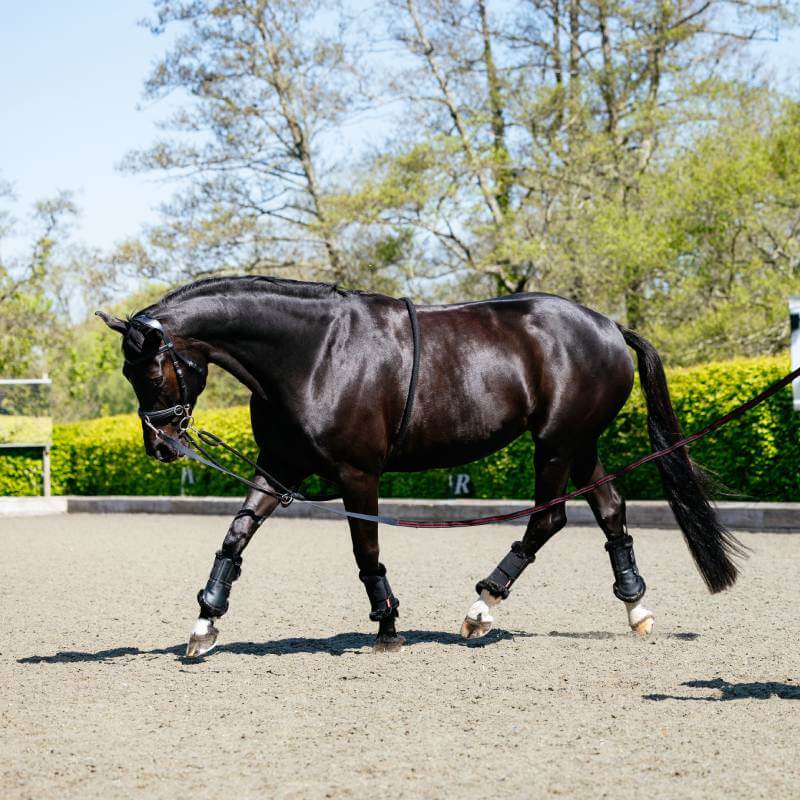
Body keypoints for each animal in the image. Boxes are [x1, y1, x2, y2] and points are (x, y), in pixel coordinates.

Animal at [97, 276, 743, 657]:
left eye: (149, 369)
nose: (161, 446)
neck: (314, 353)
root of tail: (608, 326)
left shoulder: (357, 474)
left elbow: (366, 551)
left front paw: (387, 626)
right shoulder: (280, 468)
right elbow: (236, 535)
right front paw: (205, 622)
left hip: (557, 444)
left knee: (548, 520)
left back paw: (482, 607)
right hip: (579, 444)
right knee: (609, 511)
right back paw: (636, 608)